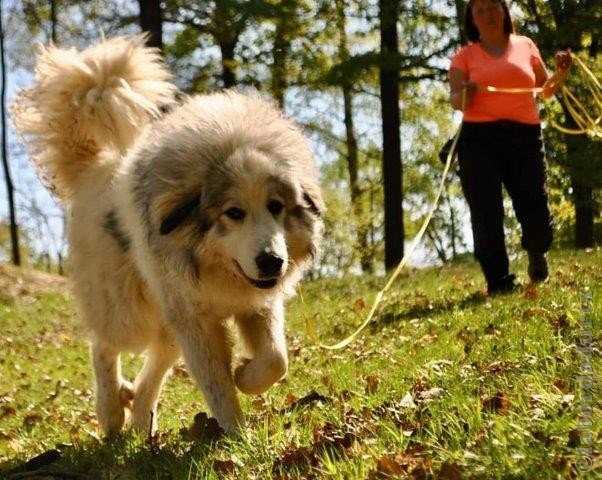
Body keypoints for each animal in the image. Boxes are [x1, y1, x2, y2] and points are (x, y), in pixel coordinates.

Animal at [12, 34, 324, 436]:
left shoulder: (257, 305)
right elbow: (216, 384)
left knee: (152, 370)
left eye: (276, 206)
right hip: (130, 311)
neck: (217, 269)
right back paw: (110, 411)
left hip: (166, 321)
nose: (272, 262)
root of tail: (95, 169)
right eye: (233, 213)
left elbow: (275, 359)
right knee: (103, 346)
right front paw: (237, 434)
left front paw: (245, 376)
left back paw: (138, 414)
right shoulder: (196, 321)